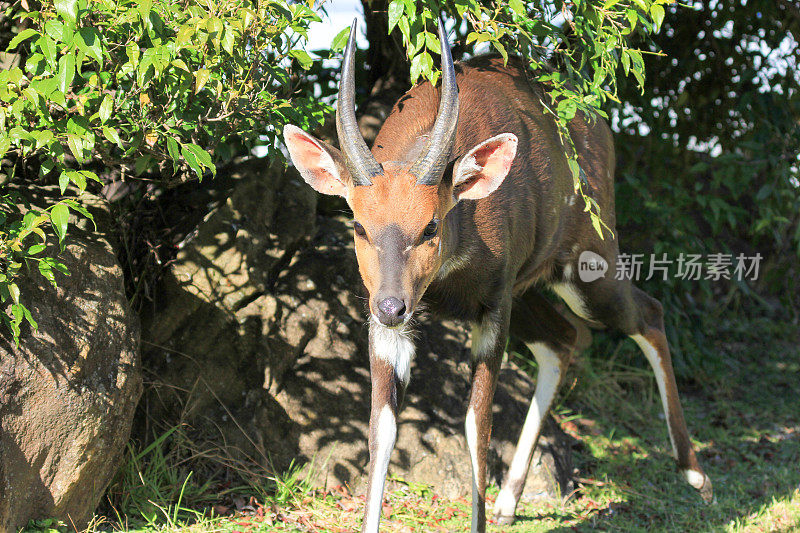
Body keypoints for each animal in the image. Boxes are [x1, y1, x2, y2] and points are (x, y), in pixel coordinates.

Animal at [282, 16, 712, 532]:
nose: (391, 306)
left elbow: (476, 424)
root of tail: (600, 127)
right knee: (563, 339)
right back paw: (509, 502)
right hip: (530, 291)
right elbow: (380, 430)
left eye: (430, 225)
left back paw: (696, 476)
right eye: (360, 226)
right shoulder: (394, 324)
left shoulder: (493, 305)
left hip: (588, 266)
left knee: (646, 313)